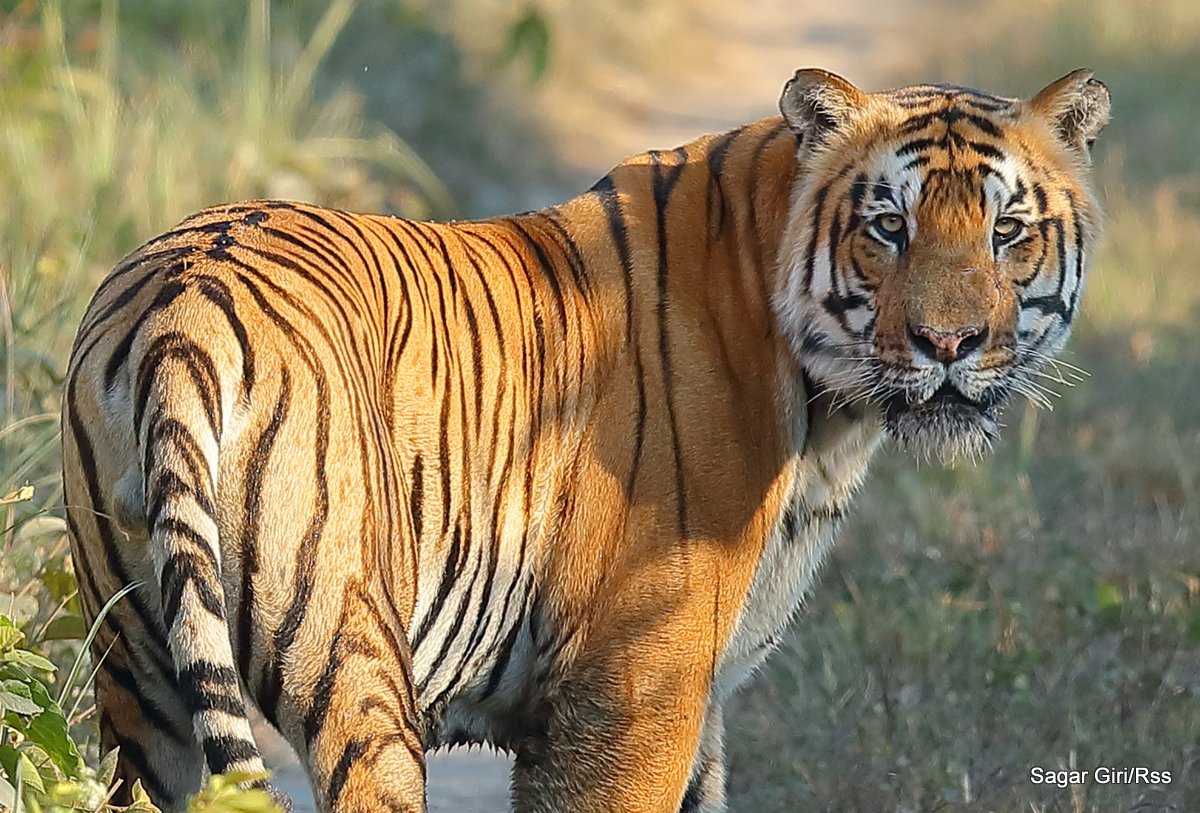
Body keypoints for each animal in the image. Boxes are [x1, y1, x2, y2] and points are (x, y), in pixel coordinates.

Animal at [60, 70, 1108, 813]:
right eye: (889, 227)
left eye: (1008, 232)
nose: (948, 343)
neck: (831, 419)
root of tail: (184, 306)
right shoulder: (637, 684)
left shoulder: (695, 697)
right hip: (354, 665)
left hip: (141, 683)